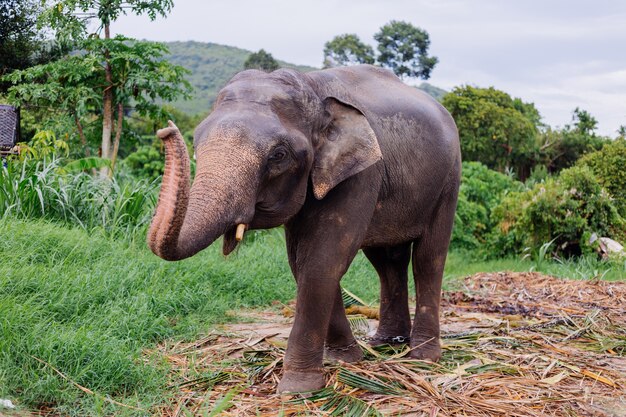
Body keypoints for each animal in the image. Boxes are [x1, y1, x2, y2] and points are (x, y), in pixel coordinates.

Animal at [146, 64, 458, 394]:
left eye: (278, 155)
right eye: (195, 143)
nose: (165, 130)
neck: (312, 86)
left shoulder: (362, 173)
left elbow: (322, 259)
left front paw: (297, 388)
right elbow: (302, 261)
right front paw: (344, 360)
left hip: (449, 180)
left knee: (428, 259)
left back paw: (422, 357)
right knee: (387, 261)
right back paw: (386, 344)